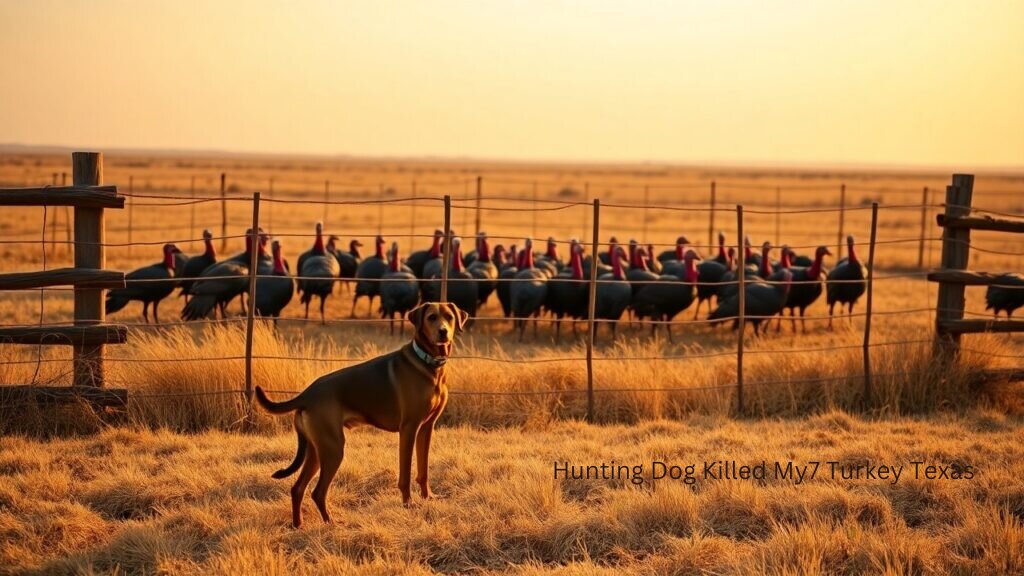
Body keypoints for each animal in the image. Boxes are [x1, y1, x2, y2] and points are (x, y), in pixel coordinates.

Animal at [253, 297, 468, 528]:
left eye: (449, 317)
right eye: (431, 318)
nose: (443, 332)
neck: (427, 363)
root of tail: (307, 394)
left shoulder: (426, 428)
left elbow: (423, 470)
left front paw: (428, 497)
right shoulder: (409, 429)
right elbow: (406, 474)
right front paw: (408, 504)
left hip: (316, 450)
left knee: (298, 488)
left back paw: (298, 525)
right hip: (333, 448)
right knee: (318, 492)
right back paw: (331, 523)